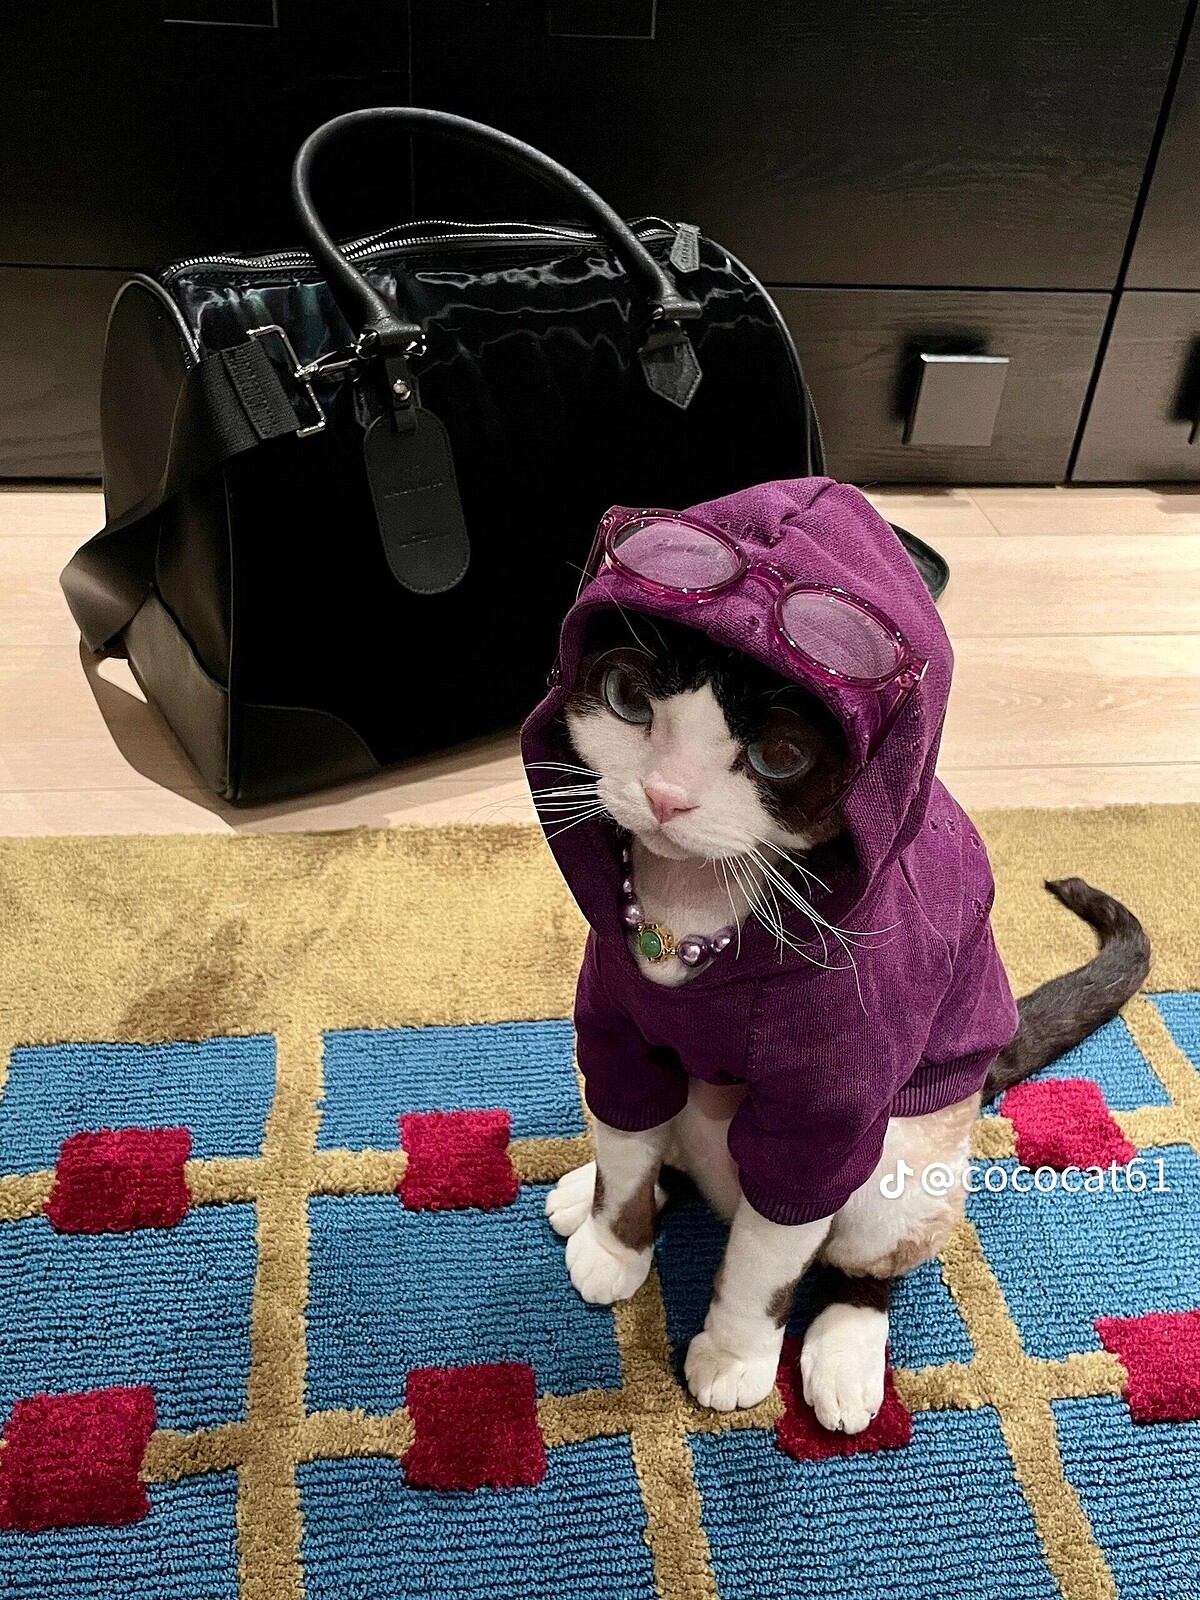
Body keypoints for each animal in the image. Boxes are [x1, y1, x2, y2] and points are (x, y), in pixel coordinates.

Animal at [521, 479, 1150, 1430]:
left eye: (780, 754)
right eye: (630, 699)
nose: (665, 796)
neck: (687, 912)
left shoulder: (822, 1122)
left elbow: (766, 1265)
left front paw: (734, 1358)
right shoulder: (619, 1031)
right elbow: (628, 1151)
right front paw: (613, 1245)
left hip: (908, 1160)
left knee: (862, 1268)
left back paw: (845, 1360)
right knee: (654, 1144)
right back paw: (586, 1190)